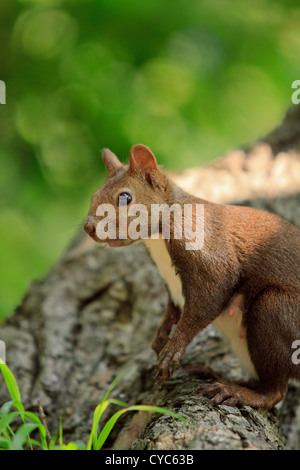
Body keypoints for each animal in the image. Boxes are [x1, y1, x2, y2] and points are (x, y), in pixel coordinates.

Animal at [82, 143, 300, 408]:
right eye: (94, 195)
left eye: (125, 197)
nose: (88, 227)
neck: (158, 237)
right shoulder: (172, 283)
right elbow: (172, 307)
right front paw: (161, 334)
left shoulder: (209, 256)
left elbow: (204, 304)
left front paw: (171, 351)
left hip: (276, 308)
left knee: (276, 391)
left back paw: (237, 392)